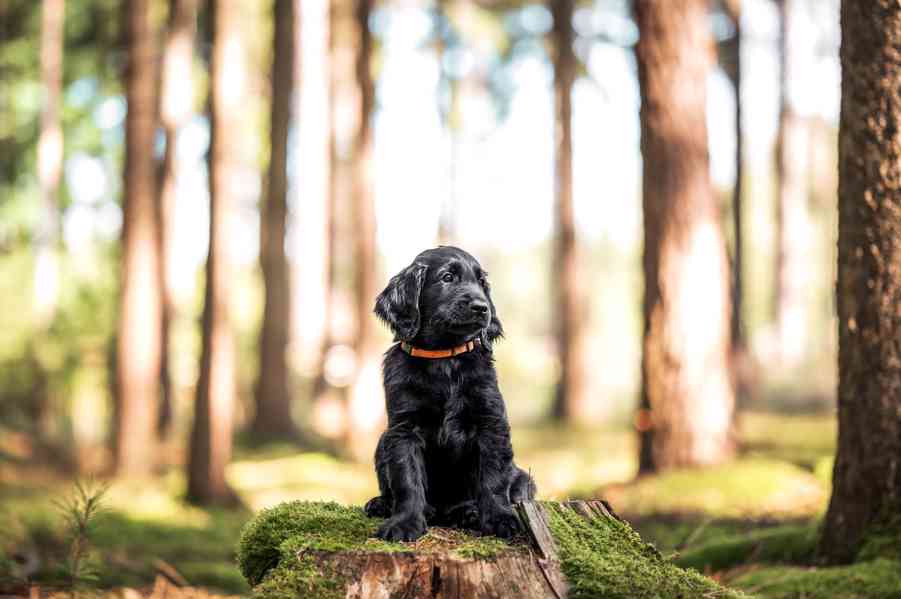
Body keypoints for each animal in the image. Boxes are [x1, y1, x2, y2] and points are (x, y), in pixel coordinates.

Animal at [362, 246, 536, 540]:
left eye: (481, 282)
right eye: (447, 277)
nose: (482, 307)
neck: (443, 359)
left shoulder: (491, 423)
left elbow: (493, 478)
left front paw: (500, 519)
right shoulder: (403, 429)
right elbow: (406, 478)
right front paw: (405, 522)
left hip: (524, 480)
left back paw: (467, 512)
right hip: (382, 441)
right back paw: (386, 504)